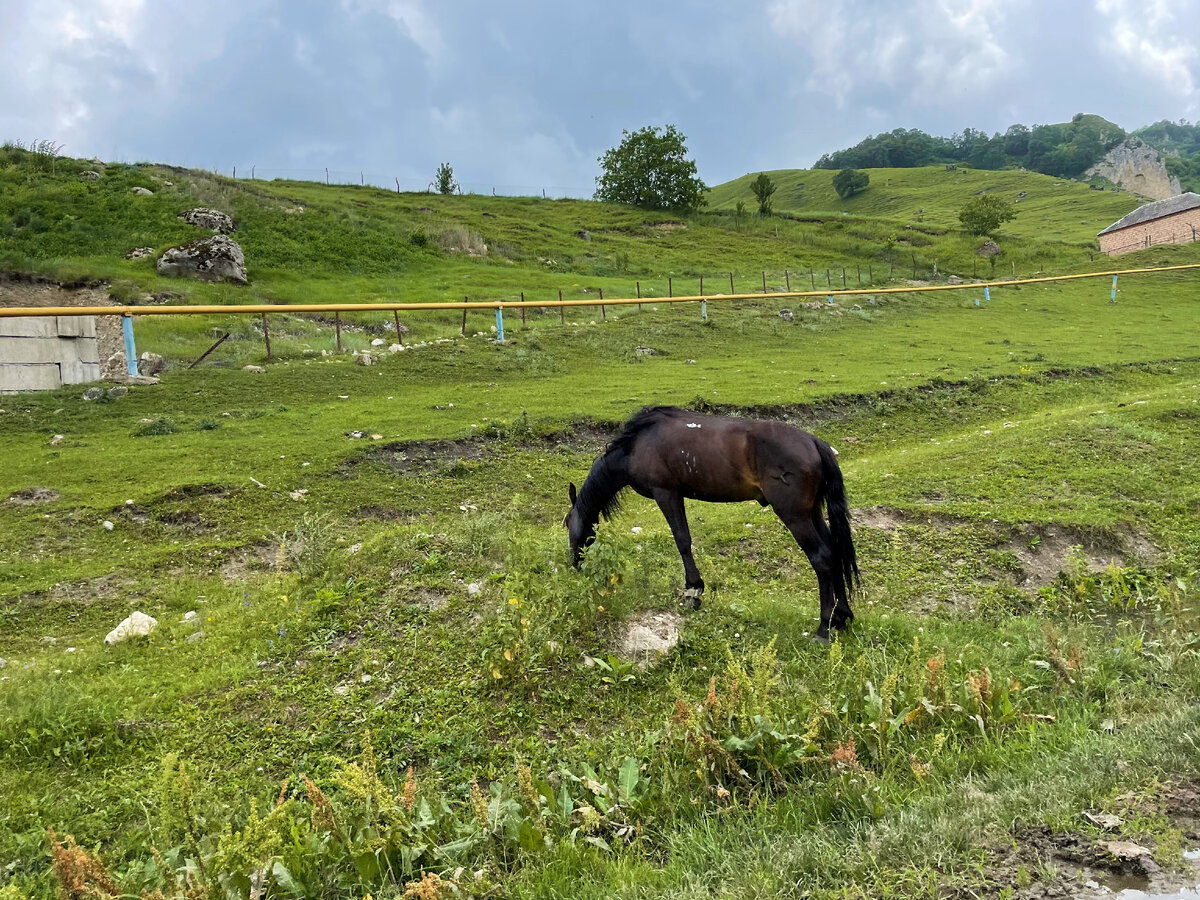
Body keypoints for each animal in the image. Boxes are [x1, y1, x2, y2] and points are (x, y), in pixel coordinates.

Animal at [564, 405, 859, 643]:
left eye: (567, 524)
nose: (575, 565)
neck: (636, 445)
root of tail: (814, 442)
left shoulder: (667, 493)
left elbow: (683, 540)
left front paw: (693, 591)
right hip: (813, 512)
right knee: (834, 552)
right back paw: (841, 616)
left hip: (795, 516)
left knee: (822, 558)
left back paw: (824, 628)